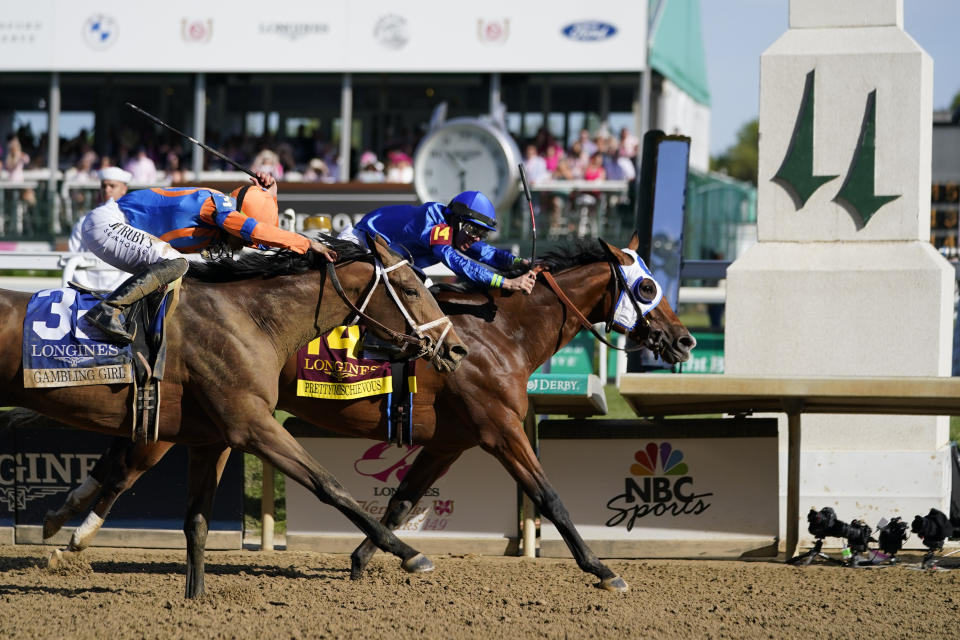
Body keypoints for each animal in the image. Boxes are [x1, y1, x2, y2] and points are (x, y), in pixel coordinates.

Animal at [0, 236, 464, 600]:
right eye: (410, 289)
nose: (456, 348)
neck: (251, 319)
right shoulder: (252, 426)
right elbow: (330, 486)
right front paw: (411, 555)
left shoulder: (212, 440)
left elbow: (197, 522)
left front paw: (196, 597)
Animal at [45, 236, 692, 596]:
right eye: (648, 287)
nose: (684, 341)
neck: (499, 332)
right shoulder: (499, 429)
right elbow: (551, 497)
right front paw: (603, 569)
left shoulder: (452, 441)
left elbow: (404, 498)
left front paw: (363, 560)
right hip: (198, 411)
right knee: (128, 465)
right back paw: (71, 533)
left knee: (121, 462)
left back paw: (64, 525)